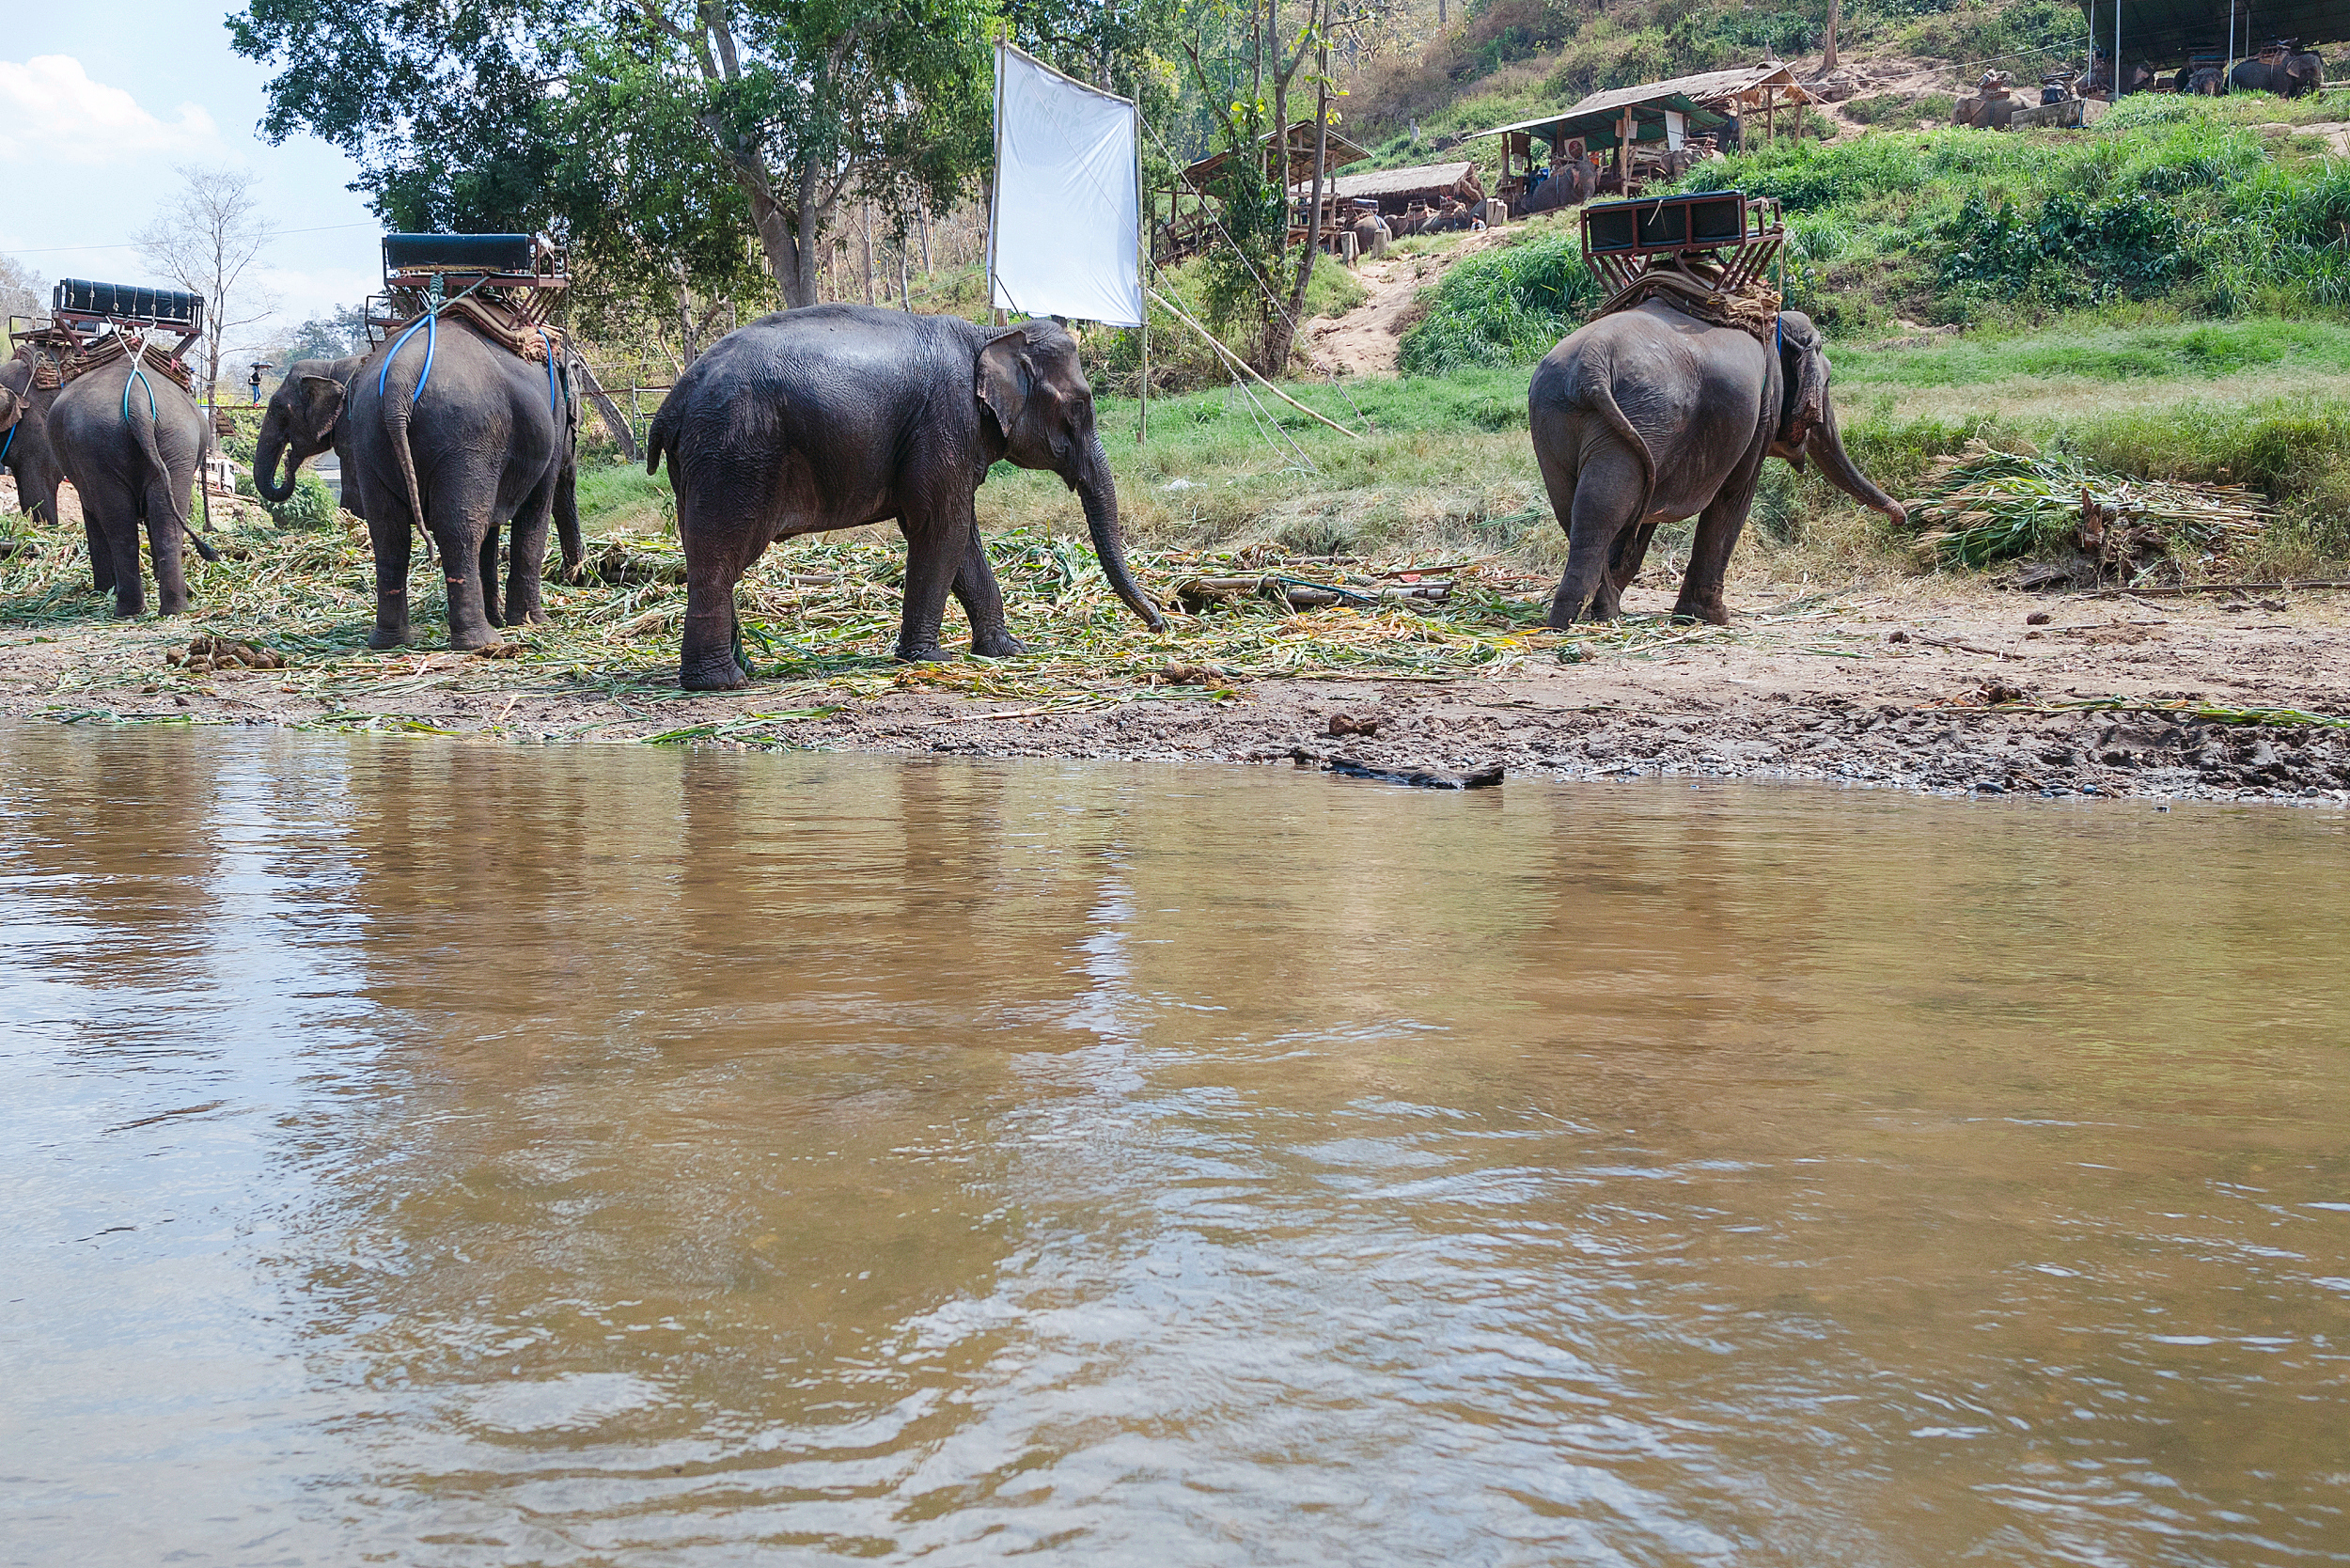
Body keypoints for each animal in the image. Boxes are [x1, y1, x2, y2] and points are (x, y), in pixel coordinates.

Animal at [47, 350, 220, 616]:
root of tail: (138, 403)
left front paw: (102, 590)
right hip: (177, 442)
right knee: (165, 525)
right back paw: (174, 609)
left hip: (99, 448)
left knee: (120, 528)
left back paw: (126, 609)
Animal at [338, 315, 583, 649]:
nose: (577, 574)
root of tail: (398, 382)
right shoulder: (550, 430)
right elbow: (535, 510)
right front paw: (533, 623)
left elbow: (492, 525)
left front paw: (503, 619)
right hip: (466, 438)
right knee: (460, 528)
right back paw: (482, 642)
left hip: (367, 440)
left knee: (389, 532)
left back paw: (390, 641)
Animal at [646, 305, 1166, 690]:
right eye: (1079, 407)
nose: (1160, 624)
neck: (990, 333)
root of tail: (672, 402)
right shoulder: (946, 421)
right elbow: (940, 530)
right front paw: (930, 657)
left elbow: (962, 538)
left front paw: (1008, 651)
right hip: (735, 456)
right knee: (720, 559)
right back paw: (722, 682)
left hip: (702, 465)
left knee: (706, 553)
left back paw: (743, 669)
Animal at [1528, 302, 1906, 626]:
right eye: (1827, 383)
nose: (1900, 519)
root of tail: (1591, 363)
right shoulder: (1761, 414)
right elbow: (1734, 496)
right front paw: (1712, 618)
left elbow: (1645, 516)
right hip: (1644, 415)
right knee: (1606, 507)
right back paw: (1587, 618)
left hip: (1562, 418)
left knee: (1578, 508)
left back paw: (1593, 616)